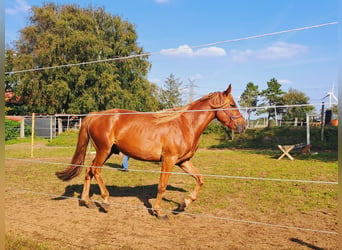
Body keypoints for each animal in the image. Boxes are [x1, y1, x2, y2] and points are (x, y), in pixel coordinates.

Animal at [55, 84, 246, 217]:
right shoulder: (168, 161)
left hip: (107, 152)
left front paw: (183, 204)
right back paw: (106, 201)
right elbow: (162, 186)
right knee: (96, 171)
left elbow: (200, 180)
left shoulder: (183, 162)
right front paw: (158, 211)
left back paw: (86, 201)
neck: (185, 125)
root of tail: (95, 115)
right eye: (231, 104)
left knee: (89, 170)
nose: (243, 125)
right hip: (103, 150)